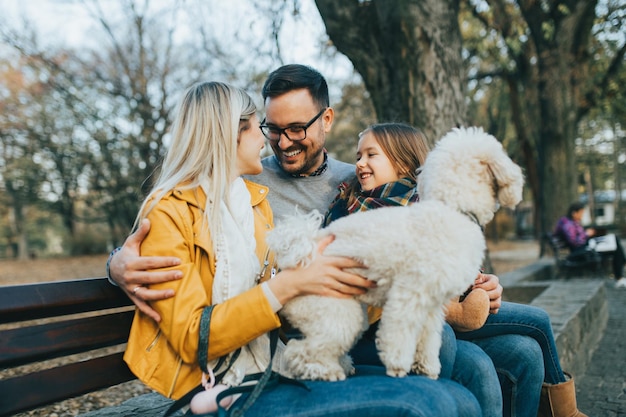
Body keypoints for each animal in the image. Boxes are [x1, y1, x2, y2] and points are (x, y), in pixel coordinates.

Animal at [266, 126, 524, 380]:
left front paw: (426, 366)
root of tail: (302, 251)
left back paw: (341, 365)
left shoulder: (431, 304)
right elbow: (400, 333)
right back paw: (326, 372)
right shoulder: (408, 294)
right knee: (299, 352)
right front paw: (398, 365)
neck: (452, 208)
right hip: (334, 311)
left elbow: (428, 338)